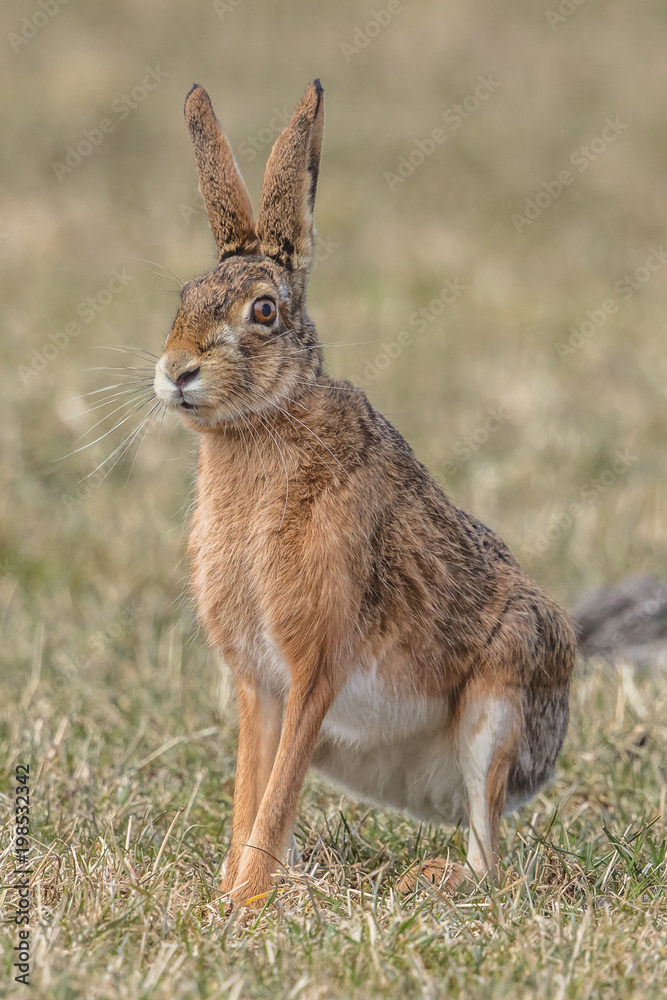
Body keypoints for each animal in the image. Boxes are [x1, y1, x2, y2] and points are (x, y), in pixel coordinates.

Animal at [152, 79, 576, 909]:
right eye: (183, 296)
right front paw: (232, 891)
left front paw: (244, 902)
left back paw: (437, 879)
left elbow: (275, 796)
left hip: (502, 694)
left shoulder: (316, 663)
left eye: (263, 311)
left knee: (490, 854)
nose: (177, 370)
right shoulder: (260, 685)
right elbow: (253, 790)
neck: (263, 424)